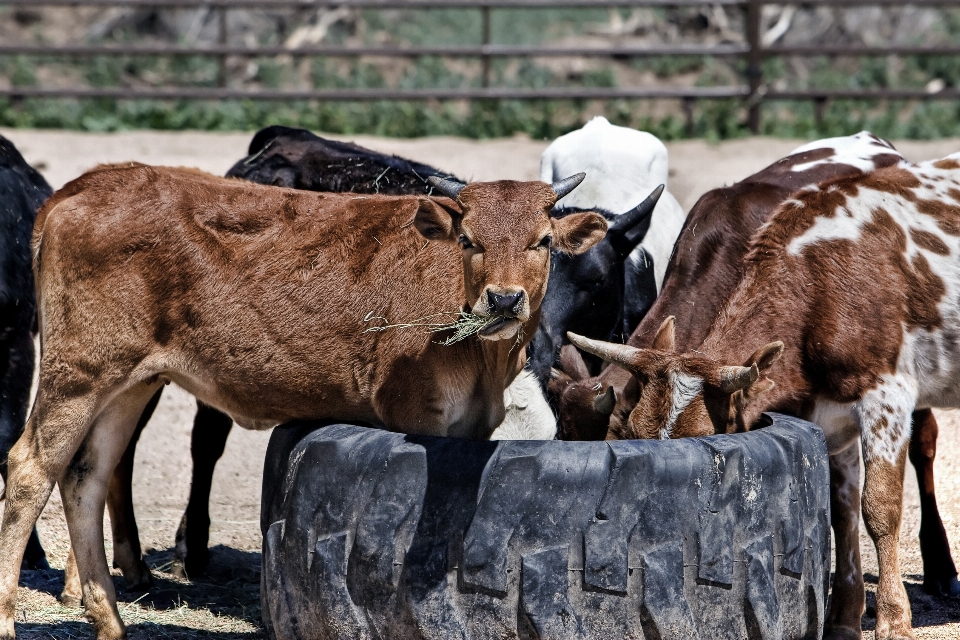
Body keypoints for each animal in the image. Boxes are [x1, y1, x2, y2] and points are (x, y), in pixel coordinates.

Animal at [0, 165, 604, 640]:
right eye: (468, 240)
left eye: (542, 241)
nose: (502, 300)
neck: (484, 359)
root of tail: (85, 186)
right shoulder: (416, 415)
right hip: (79, 373)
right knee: (30, 469)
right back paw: (9, 619)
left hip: (130, 382)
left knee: (88, 476)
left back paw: (110, 621)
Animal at [568, 155, 960, 640]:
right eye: (633, 435)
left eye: (705, 438)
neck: (819, 284)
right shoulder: (831, 418)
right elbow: (843, 512)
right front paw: (844, 618)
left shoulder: (886, 396)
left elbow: (879, 509)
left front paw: (891, 619)